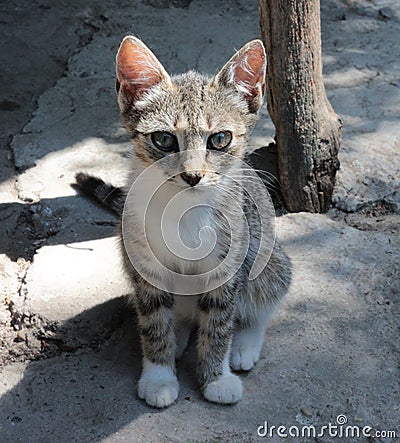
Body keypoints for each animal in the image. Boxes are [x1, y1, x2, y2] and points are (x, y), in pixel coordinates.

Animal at [75, 36, 290, 408]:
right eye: (163, 139)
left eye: (220, 139)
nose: (192, 175)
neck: (184, 208)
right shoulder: (143, 264)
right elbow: (153, 321)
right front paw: (159, 376)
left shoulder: (229, 266)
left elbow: (220, 321)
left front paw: (216, 376)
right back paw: (178, 335)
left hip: (268, 252)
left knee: (262, 296)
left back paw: (245, 344)